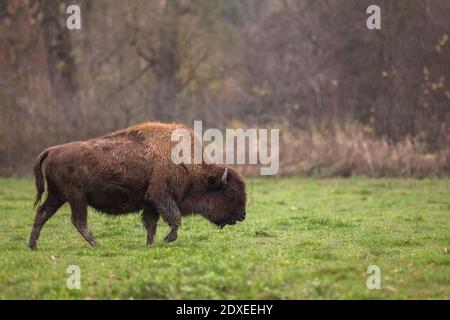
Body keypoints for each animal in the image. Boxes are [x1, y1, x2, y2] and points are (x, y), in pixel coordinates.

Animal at [28, 121, 246, 249]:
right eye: (229, 193)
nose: (242, 216)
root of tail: (52, 150)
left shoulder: (151, 202)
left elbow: (151, 224)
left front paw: (150, 245)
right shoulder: (161, 196)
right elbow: (174, 218)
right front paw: (167, 239)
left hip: (57, 196)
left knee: (42, 213)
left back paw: (33, 246)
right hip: (76, 197)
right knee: (78, 220)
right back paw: (97, 244)